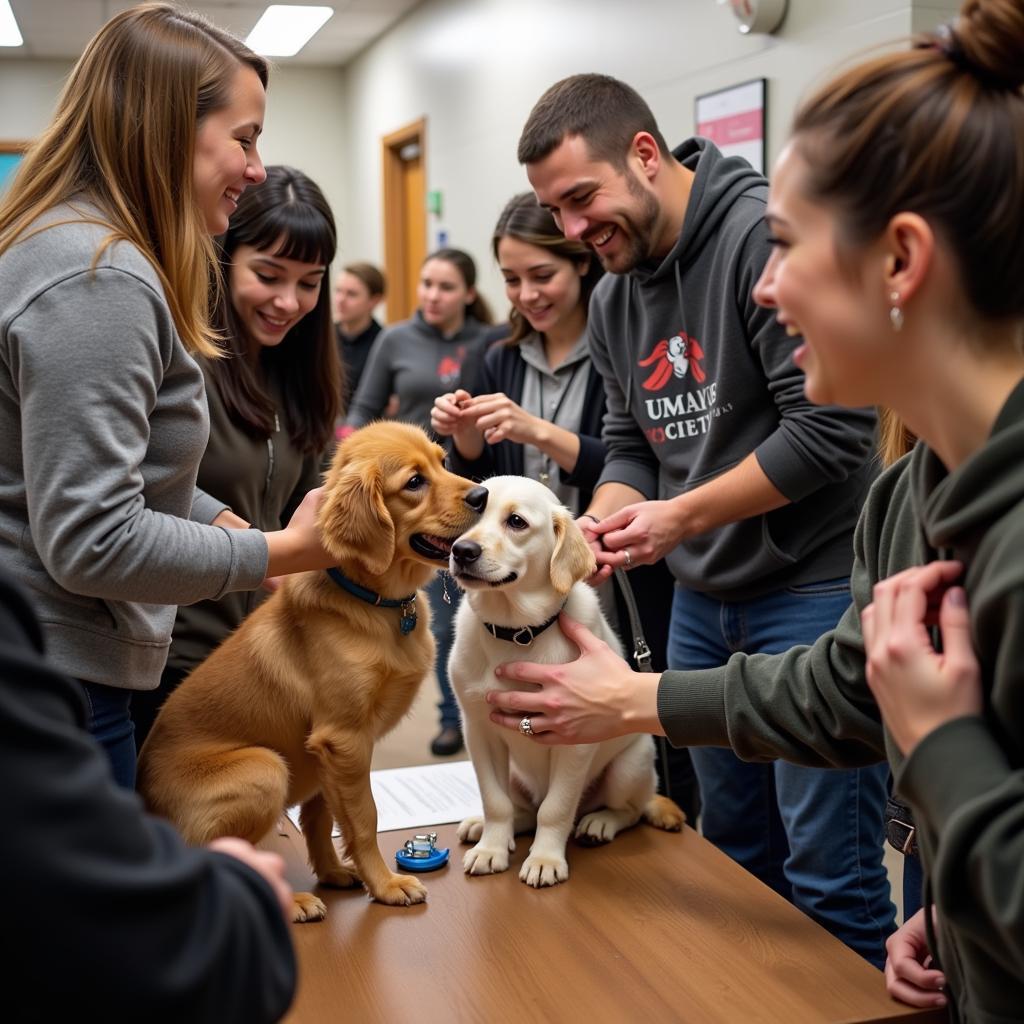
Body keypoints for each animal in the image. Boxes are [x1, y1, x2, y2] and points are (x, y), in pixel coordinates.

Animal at [139, 419, 487, 925]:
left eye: (443, 462)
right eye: (414, 482)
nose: (483, 493)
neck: (377, 605)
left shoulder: (328, 751)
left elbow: (320, 819)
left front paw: (333, 872)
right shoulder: (344, 738)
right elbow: (363, 819)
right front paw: (385, 885)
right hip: (265, 768)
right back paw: (291, 901)